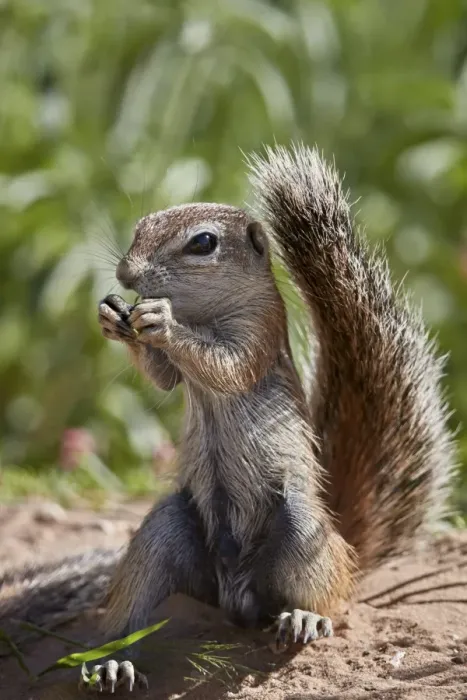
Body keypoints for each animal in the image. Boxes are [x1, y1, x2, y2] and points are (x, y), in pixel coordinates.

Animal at [0, 144, 455, 693]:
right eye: (140, 225)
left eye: (203, 243)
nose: (126, 276)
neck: (200, 313)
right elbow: (164, 380)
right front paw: (115, 319)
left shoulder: (258, 331)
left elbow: (226, 365)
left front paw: (161, 322)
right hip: (166, 531)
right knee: (136, 602)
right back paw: (113, 660)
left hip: (301, 529)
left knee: (328, 600)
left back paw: (305, 616)